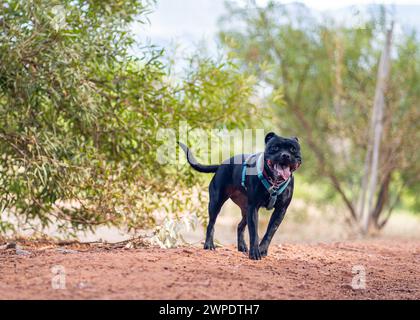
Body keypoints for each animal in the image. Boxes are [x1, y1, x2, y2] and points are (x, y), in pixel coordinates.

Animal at [179, 132, 300, 260]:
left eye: (293, 149)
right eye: (275, 147)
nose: (286, 155)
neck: (274, 183)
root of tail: (221, 165)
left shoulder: (280, 211)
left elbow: (270, 232)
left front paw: (262, 249)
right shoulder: (253, 208)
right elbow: (254, 232)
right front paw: (255, 252)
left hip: (245, 210)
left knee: (240, 226)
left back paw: (242, 246)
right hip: (216, 203)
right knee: (211, 224)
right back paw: (209, 244)